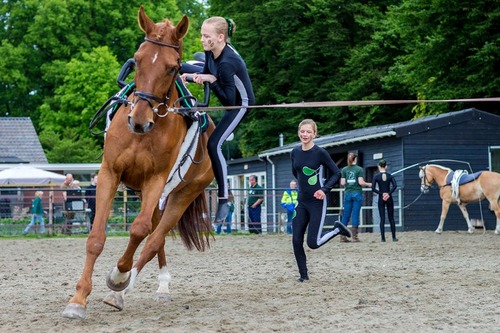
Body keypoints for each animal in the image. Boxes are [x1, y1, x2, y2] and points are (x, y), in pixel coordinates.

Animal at [62, 5, 213, 318]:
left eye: (173, 67)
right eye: (138, 59)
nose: (139, 120)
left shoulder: (156, 180)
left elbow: (139, 230)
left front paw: (118, 276)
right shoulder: (110, 173)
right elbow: (96, 238)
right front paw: (78, 299)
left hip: (180, 196)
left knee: (153, 239)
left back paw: (124, 290)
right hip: (151, 197)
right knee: (156, 237)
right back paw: (156, 286)